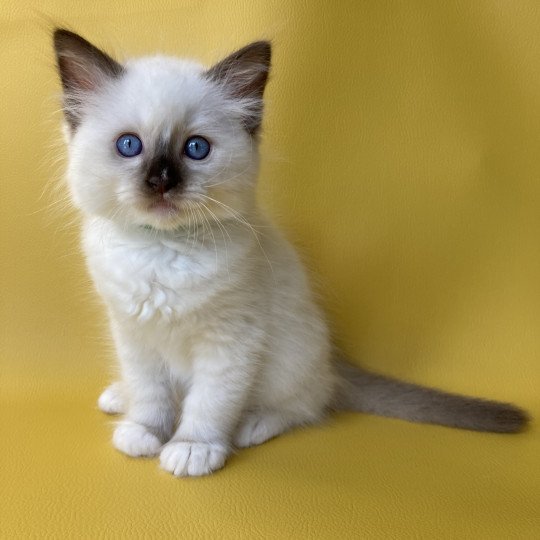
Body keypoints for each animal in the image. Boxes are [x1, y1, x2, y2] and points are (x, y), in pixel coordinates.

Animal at [53, 29, 528, 476]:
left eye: (196, 149)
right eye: (129, 146)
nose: (161, 182)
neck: (159, 249)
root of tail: (333, 364)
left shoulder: (229, 342)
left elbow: (208, 403)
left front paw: (191, 449)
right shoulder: (134, 334)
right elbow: (152, 394)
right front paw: (144, 433)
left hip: (289, 358)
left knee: (307, 403)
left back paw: (253, 424)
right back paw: (120, 398)